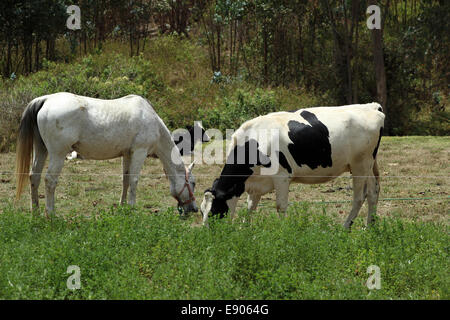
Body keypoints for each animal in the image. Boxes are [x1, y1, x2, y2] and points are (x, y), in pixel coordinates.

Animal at [14, 93, 198, 218]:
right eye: (193, 183)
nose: (194, 209)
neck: (150, 119)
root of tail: (45, 100)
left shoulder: (127, 154)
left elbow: (125, 180)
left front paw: (123, 207)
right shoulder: (139, 152)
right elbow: (134, 181)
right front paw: (132, 208)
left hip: (41, 150)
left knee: (34, 177)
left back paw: (36, 212)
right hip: (57, 154)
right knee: (50, 181)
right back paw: (51, 215)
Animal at [202, 102, 384, 228]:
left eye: (214, 212)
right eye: (202, 210)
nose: (207, 235)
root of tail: (372, 106)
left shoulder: (282, 177)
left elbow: (280, 206)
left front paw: (284, 232)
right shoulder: (256, 184)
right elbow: (250, 207)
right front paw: (244, 230)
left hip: (360, 164)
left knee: (359, 197)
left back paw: (345, 227)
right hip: (368, 165)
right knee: (373, 192)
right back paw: (369, 227)